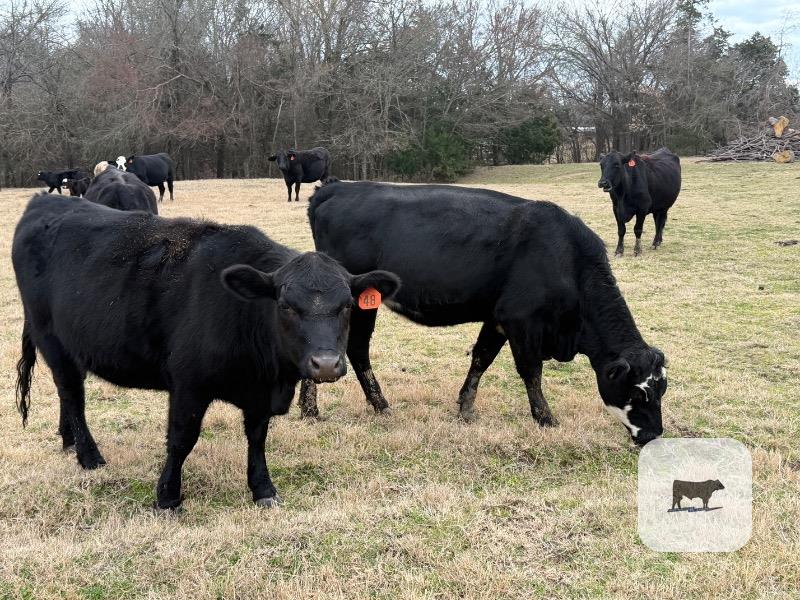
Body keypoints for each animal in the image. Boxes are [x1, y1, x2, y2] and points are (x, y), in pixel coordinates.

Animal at [12, 193, 399, 510]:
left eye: (347, 305)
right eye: (286, 306)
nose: (326, 365)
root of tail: (44, 201)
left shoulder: (259, 394)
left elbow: (257, 437)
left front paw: (263, 489)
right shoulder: (188, 384)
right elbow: (181, 439)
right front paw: (167, 497)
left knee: (67, 396)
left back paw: (69, 443)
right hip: (53, 341)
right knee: (72, 395)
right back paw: (90, 457)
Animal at [303, 181, 668, 446]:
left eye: (662, 390)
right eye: (638, 392)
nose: (654, 435)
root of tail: (336, 187)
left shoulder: (497, 318)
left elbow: (481, 358)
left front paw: (466, 408)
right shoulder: (521, 321)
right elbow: (531, 372)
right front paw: (545, 418)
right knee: (350, 347)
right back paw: (340, 407)